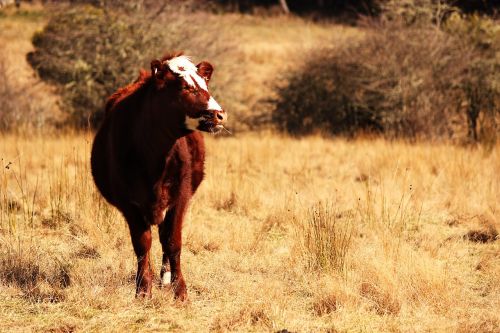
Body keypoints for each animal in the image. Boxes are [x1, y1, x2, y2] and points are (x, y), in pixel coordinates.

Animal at [91, 52, 227, 298]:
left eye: (205, 85)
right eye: (185, 87)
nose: (219, 115)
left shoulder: (180, 198)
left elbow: (173, 242)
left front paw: (180, 291)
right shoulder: (129, 204)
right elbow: (142, 244)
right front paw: (143, 289)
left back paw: (164, 277)